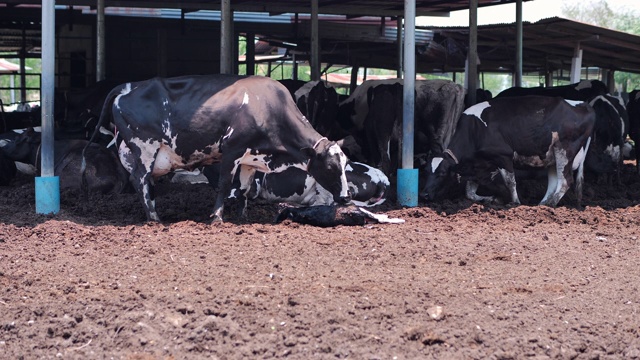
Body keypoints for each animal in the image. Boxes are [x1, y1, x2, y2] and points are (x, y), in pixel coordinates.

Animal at [86, 75, 350, 222]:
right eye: (330, 167)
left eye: (345, 164)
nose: (346, 197)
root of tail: (128, 87)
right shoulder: (232, 149)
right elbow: (225, 185)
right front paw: (217, 218)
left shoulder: (250, 157)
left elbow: (244, 189)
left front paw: (242, 218)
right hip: (145, 147)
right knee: (140, 179)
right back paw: (154, 218)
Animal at [422, 95, 596, 208]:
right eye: (426, 171)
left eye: (442, 173)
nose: (424, 195)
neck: (474, 130)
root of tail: (582, 104)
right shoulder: (478, 166)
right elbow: (469, 192)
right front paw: (492, 199)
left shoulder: (503, 156)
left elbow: (510, 182)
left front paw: (515, 203)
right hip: (551, 155)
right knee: (554, 182)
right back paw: (542, 204)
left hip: (564, 150)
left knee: (565, 180)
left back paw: (550, 205)